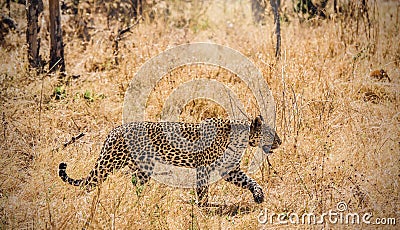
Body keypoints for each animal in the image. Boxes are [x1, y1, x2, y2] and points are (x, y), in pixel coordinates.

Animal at [58, 116, 282, 206]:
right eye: (270, 133)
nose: (280, 141)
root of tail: (114, 131)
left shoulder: (229, 169)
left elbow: (249, 181)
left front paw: (259, 195)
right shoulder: (204, 167)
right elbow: (202, 188)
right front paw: (203, 206)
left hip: (141, 168)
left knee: (135, 185)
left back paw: (142, 201)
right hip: (111, 161)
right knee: (90, 182)